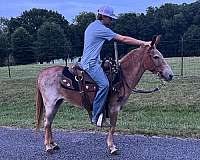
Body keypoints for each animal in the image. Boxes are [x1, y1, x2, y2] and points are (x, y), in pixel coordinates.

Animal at [36, 35, 173, 154]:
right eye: (156, 57)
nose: (170, 75)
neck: (122, 77)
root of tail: (42, 73)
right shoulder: (114, 107)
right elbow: (112, 126)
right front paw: (112, 147)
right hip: (50, 103)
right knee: (47, 122)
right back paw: (48, 146)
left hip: (57, 102)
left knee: (50, 122)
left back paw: (53, 144)